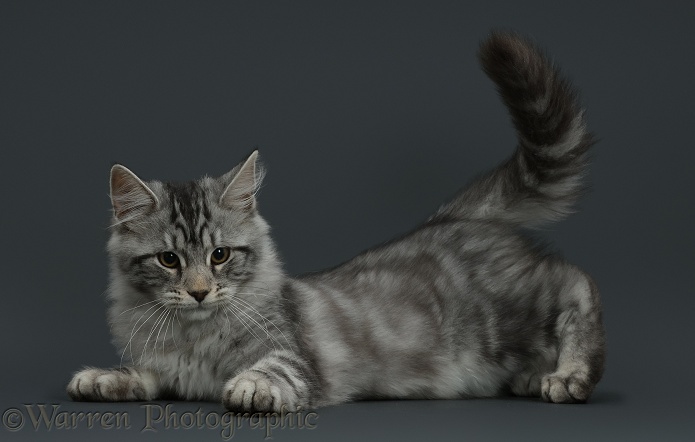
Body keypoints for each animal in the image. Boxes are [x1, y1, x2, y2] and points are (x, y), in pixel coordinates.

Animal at [68, 33, 608, 410]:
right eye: (169, 260)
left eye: (220, 255)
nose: (200, 291)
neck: (194, 337)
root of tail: (451, 219)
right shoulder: (167, 370)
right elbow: (141, 374)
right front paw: (102, 378)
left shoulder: (292, 353)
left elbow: (273, 369)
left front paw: (250, 387)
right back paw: (535, 377)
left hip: (513, 311)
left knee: (577, 284)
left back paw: (569, 376)